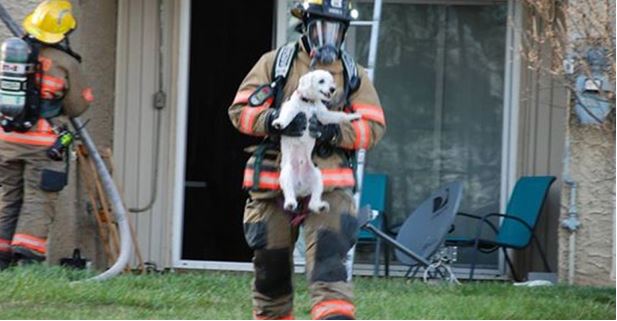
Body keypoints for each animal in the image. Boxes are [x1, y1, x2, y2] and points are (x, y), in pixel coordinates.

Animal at [0, 0, 92, 270]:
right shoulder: (71, 67)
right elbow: (76, 100)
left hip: (9, 159)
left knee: (9, 201)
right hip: (45, 164)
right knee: (40, 200)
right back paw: (27, 257)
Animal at [270, 70, 360, 212]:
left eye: (331, 81)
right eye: (321, 81)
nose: (332, 89)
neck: (309, 102)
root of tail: (300, 189)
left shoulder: (322, 115)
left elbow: (338, 116)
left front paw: (353, 116)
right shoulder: (292, 108)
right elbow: (287, 115)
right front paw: (279, 123)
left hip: (317, 176)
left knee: (314, 199)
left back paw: (320, 206)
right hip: (286, 174)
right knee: (289, 191)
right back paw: (290, 203)